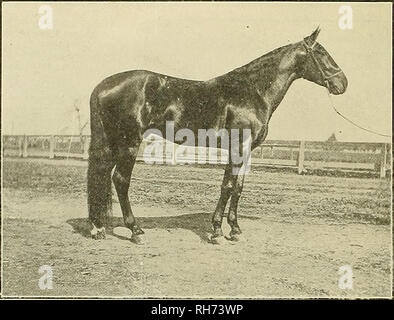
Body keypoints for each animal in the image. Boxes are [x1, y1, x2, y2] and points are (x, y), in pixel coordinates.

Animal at [87, 27, 348, 244]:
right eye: (321, 53)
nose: (342, 83)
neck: (253, 91)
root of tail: (102, 85)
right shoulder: (237, 148)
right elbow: (228, 187)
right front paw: (216, 231)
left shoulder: (245, 151)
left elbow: (238, 188)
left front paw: (235, 230)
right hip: (129, 142)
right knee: (120, 179)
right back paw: (135, 230)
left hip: (112, 142)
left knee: (101, 175)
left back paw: (97, 227)